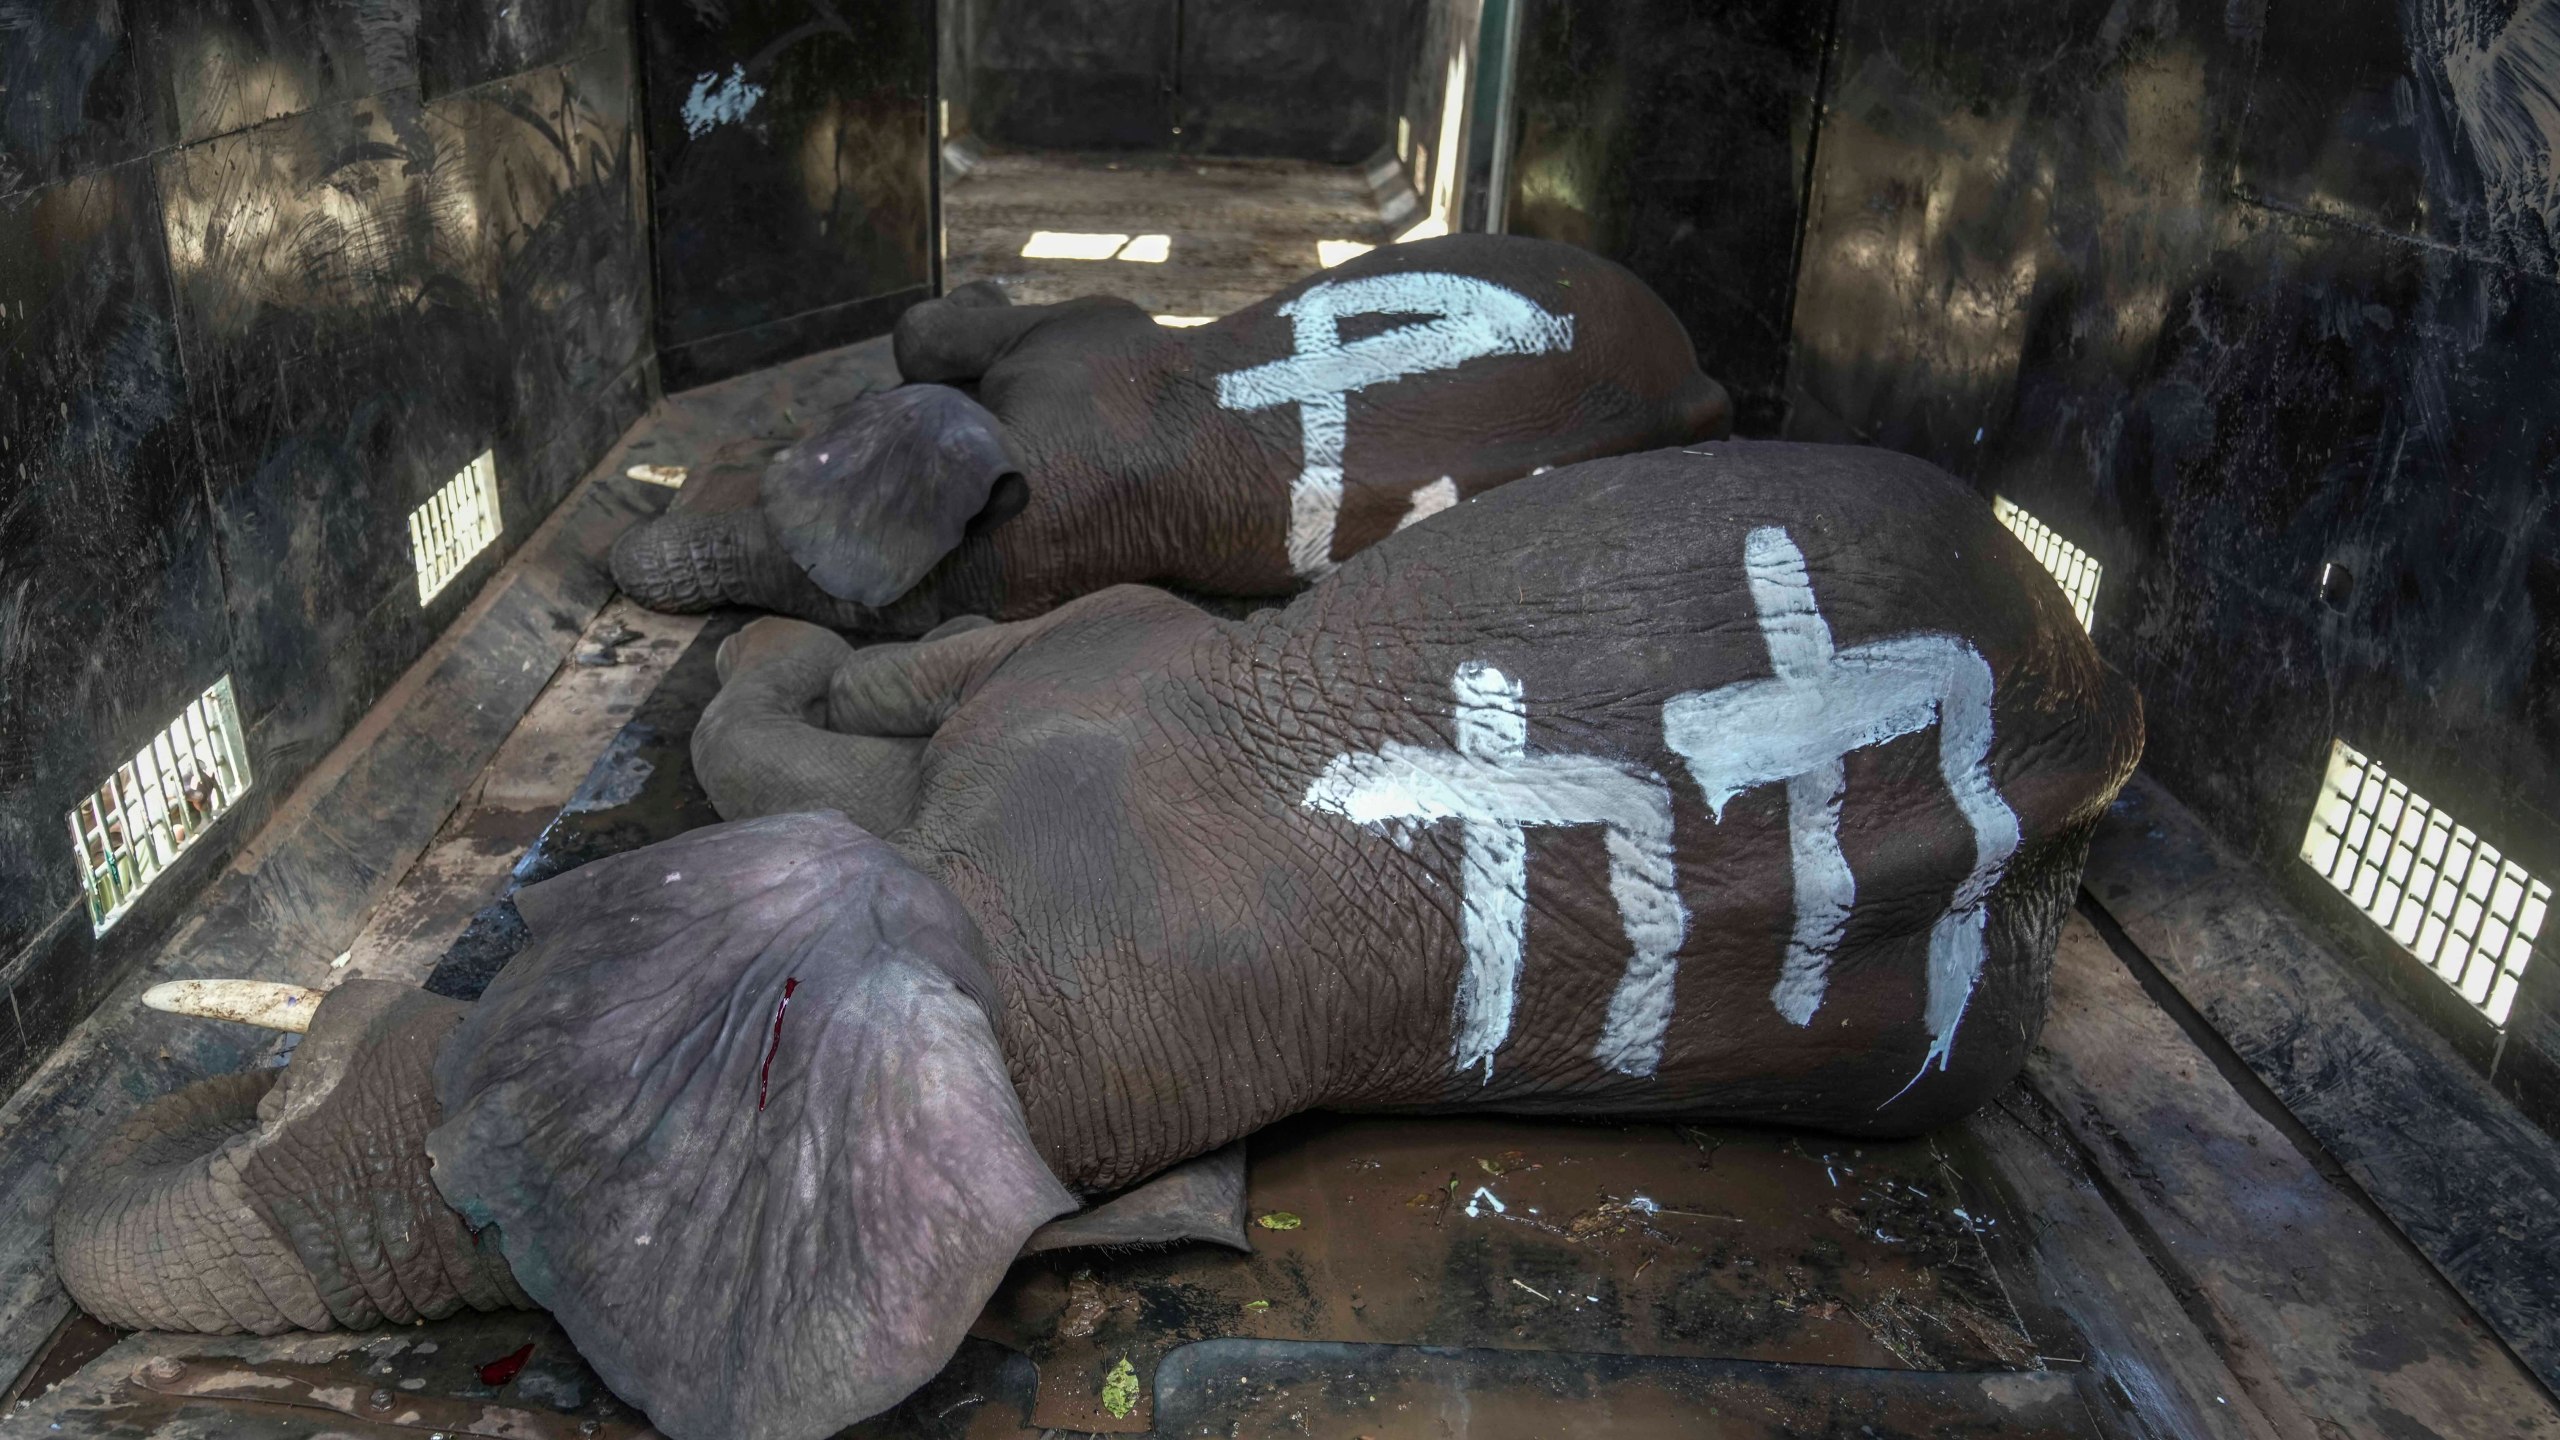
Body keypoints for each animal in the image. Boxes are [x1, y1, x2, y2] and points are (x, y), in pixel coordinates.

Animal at [55, 438, 2140, 1434]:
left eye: (485, 1204)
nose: (275, 1055)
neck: (986, 957)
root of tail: (2103, 716)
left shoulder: (1100, 698)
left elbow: (832, 712)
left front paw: (799, 654)